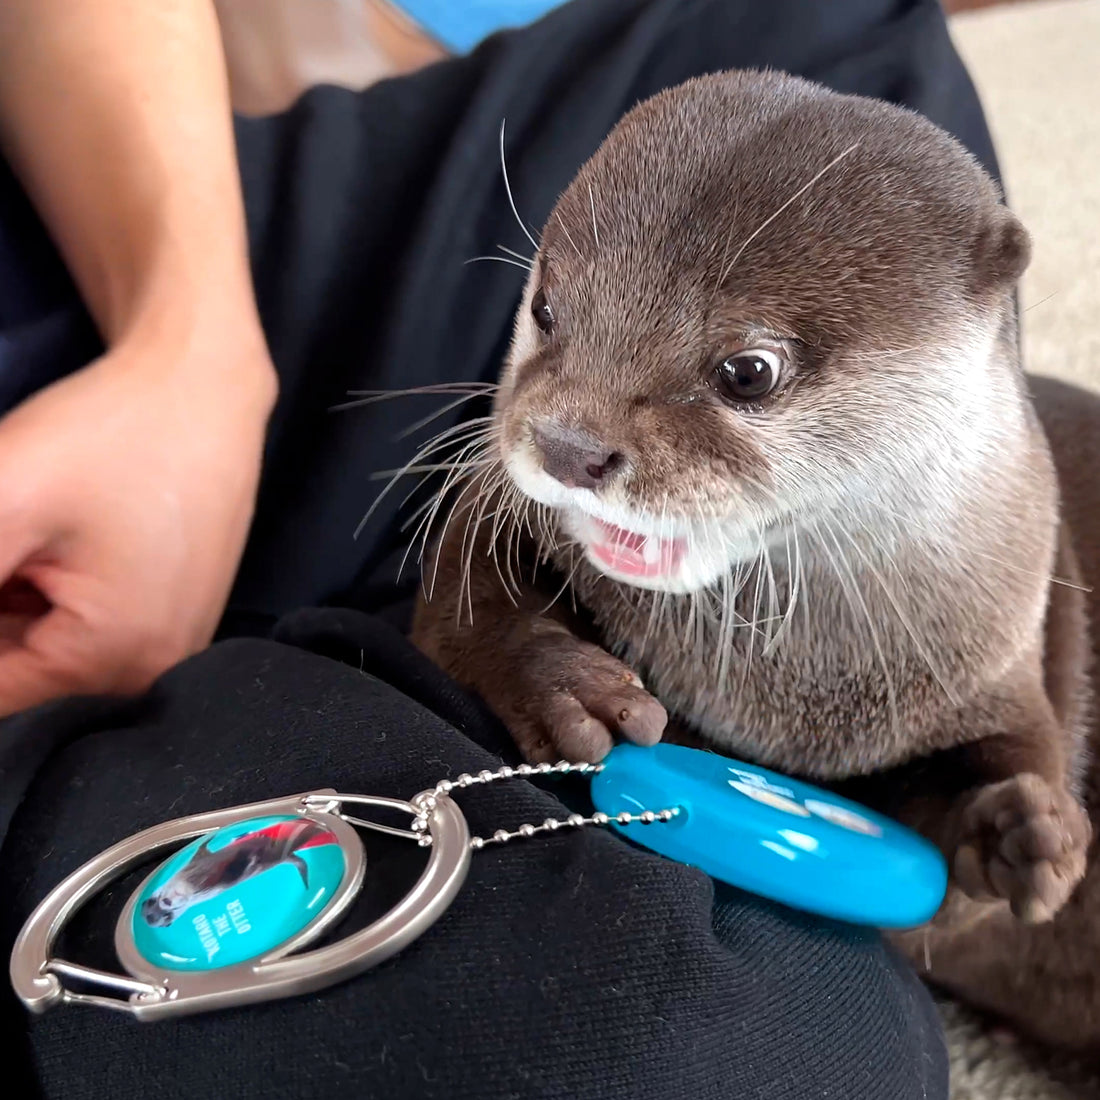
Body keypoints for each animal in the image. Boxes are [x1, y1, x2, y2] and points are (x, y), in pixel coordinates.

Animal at [409, 68, 1100, 1047]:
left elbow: (961, 888)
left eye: (748, 371)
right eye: (545, 309)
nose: (566, 446)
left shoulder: (1003, 655)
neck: (776, 696)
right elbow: (461, 601)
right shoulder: (491, 505)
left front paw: (1016, 833)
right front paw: (572, 689)